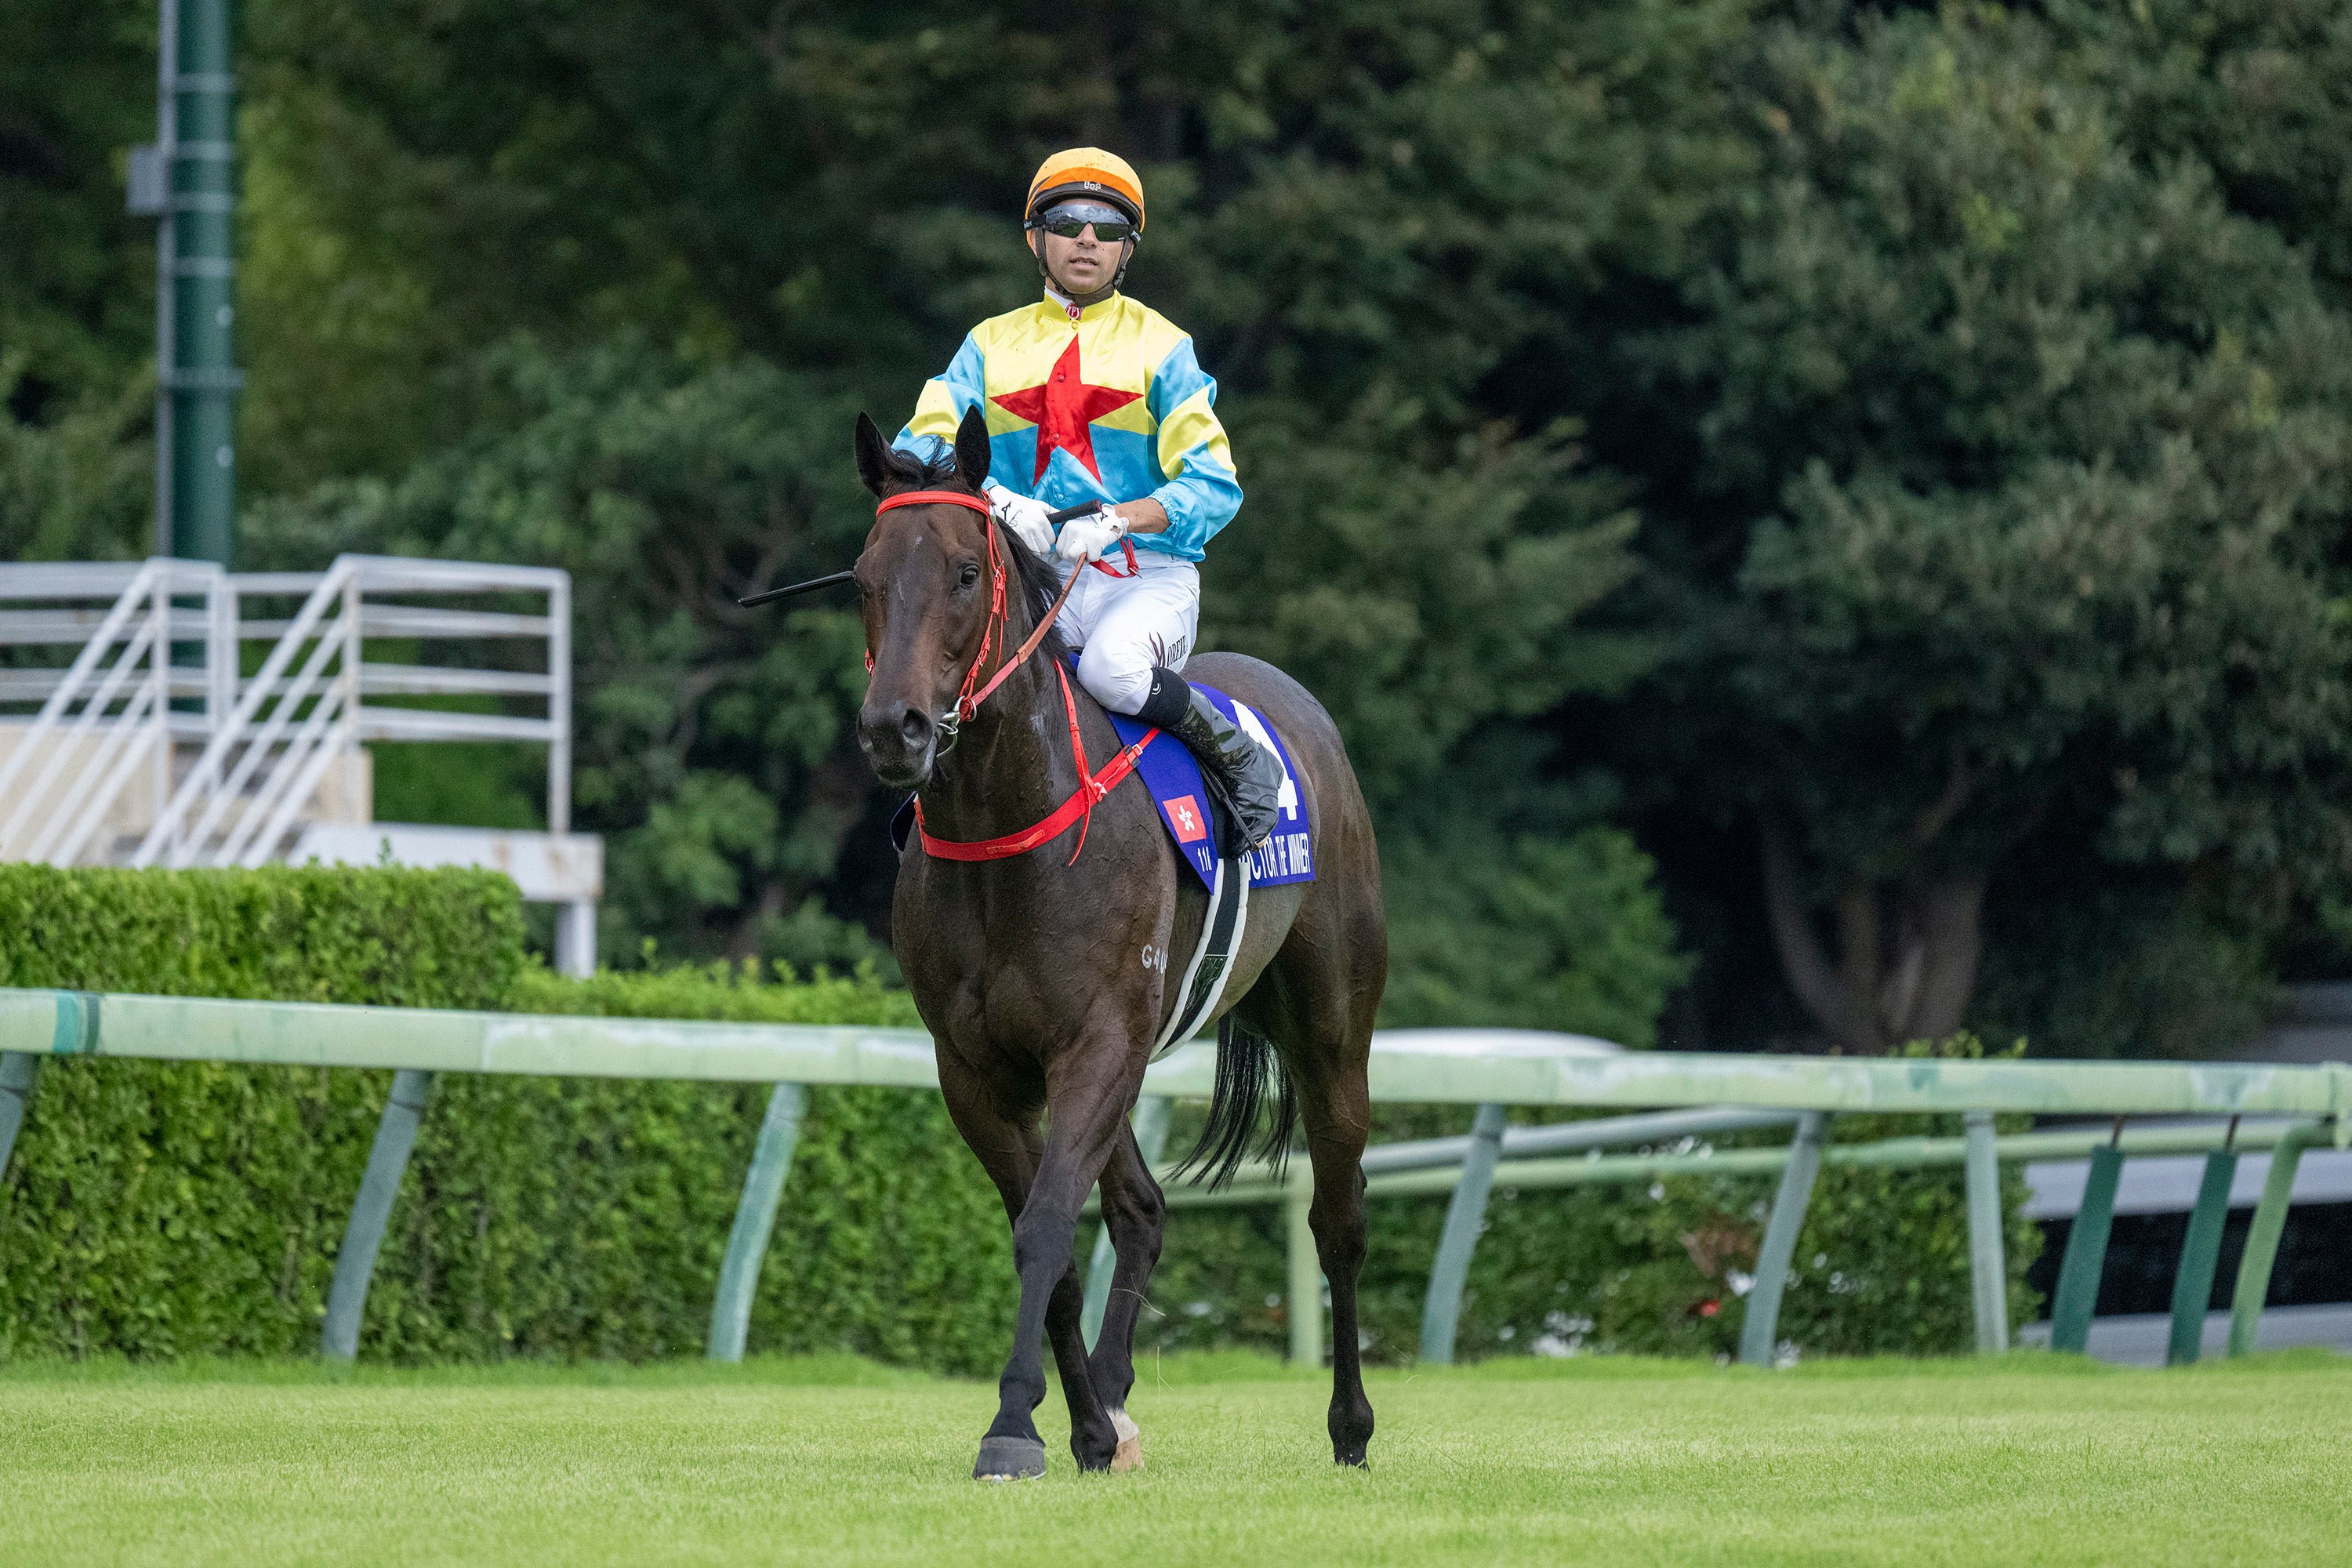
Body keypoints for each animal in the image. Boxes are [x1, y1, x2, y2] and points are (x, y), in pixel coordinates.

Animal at [856, 408, 1383, 1486]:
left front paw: (1013, 1422)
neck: (1011, 834)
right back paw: (1110, 1400)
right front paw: (1078, 1425)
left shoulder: (1096, 1039)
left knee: (1337, 1218)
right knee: (1143, 1206)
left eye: (965, 570)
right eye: (863, 577)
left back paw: (1350, 1423)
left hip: (1331, 1027)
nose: (896, 728)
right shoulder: (979, 1069)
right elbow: (1050, 1236)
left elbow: (1049, 1226)